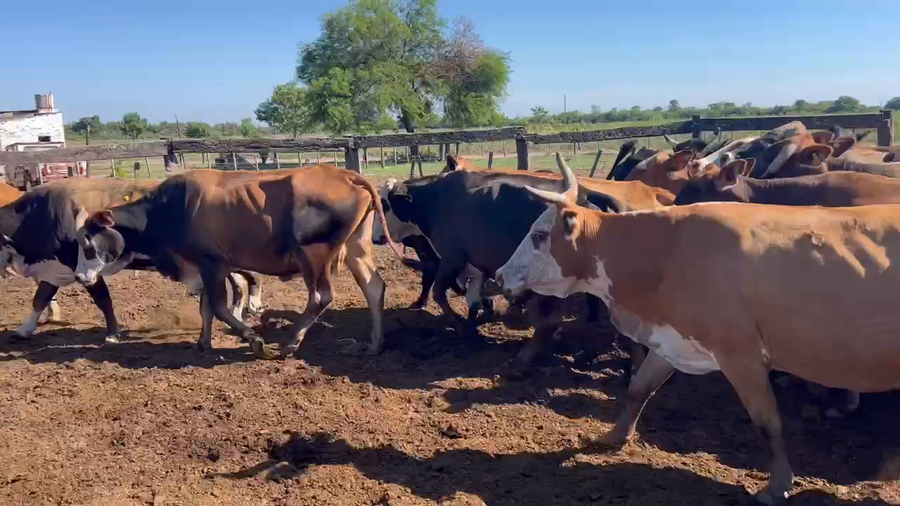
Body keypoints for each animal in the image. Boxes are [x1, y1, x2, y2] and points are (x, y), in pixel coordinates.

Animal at [73, 166, 402, 358]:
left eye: (87, 243)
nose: (78, 276)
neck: (170, 209)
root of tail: (345, 174)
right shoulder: (205, 267)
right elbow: (206, 307)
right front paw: (203, 341)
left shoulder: (212, 264)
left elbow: (219, 307)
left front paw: (252, 337)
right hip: (356, 247)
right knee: (374, 287)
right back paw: (375, 343)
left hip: (314, 255)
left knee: (320, 296)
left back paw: (291, 342)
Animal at [496, 154, 900, 504]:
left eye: (539, 235)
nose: (500, 275)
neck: (665, 252)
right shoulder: (671, 338)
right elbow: (638, 388)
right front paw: (613, 436)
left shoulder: (741, 355)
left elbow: (767, 422)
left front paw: (777, 485)